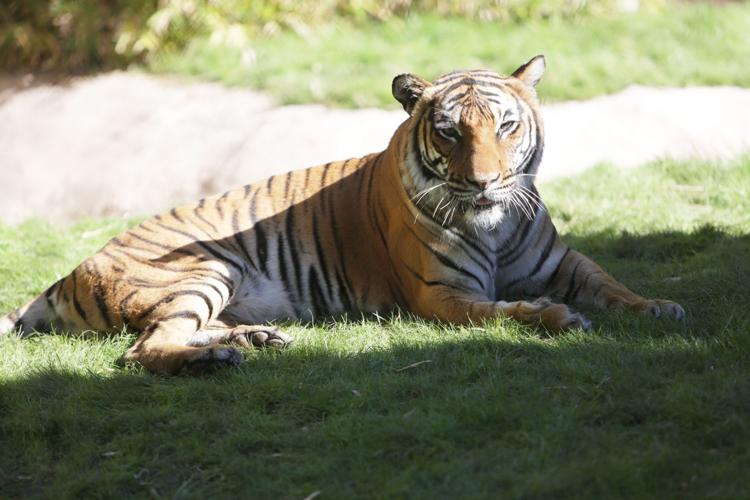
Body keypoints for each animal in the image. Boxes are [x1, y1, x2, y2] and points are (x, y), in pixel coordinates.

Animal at [0, 55, 685, 375]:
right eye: (450, 131)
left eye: (506, 126)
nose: (485, 182)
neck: (494, 222)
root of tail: (65, 273)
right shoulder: (443, 295)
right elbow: (506, 311)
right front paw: (556, 317)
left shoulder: (564, 261)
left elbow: (610, 284)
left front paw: (659, 307)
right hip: (203, 269)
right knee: (141, 349)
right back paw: (217, 359)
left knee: (168, 333)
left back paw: (252, 338)